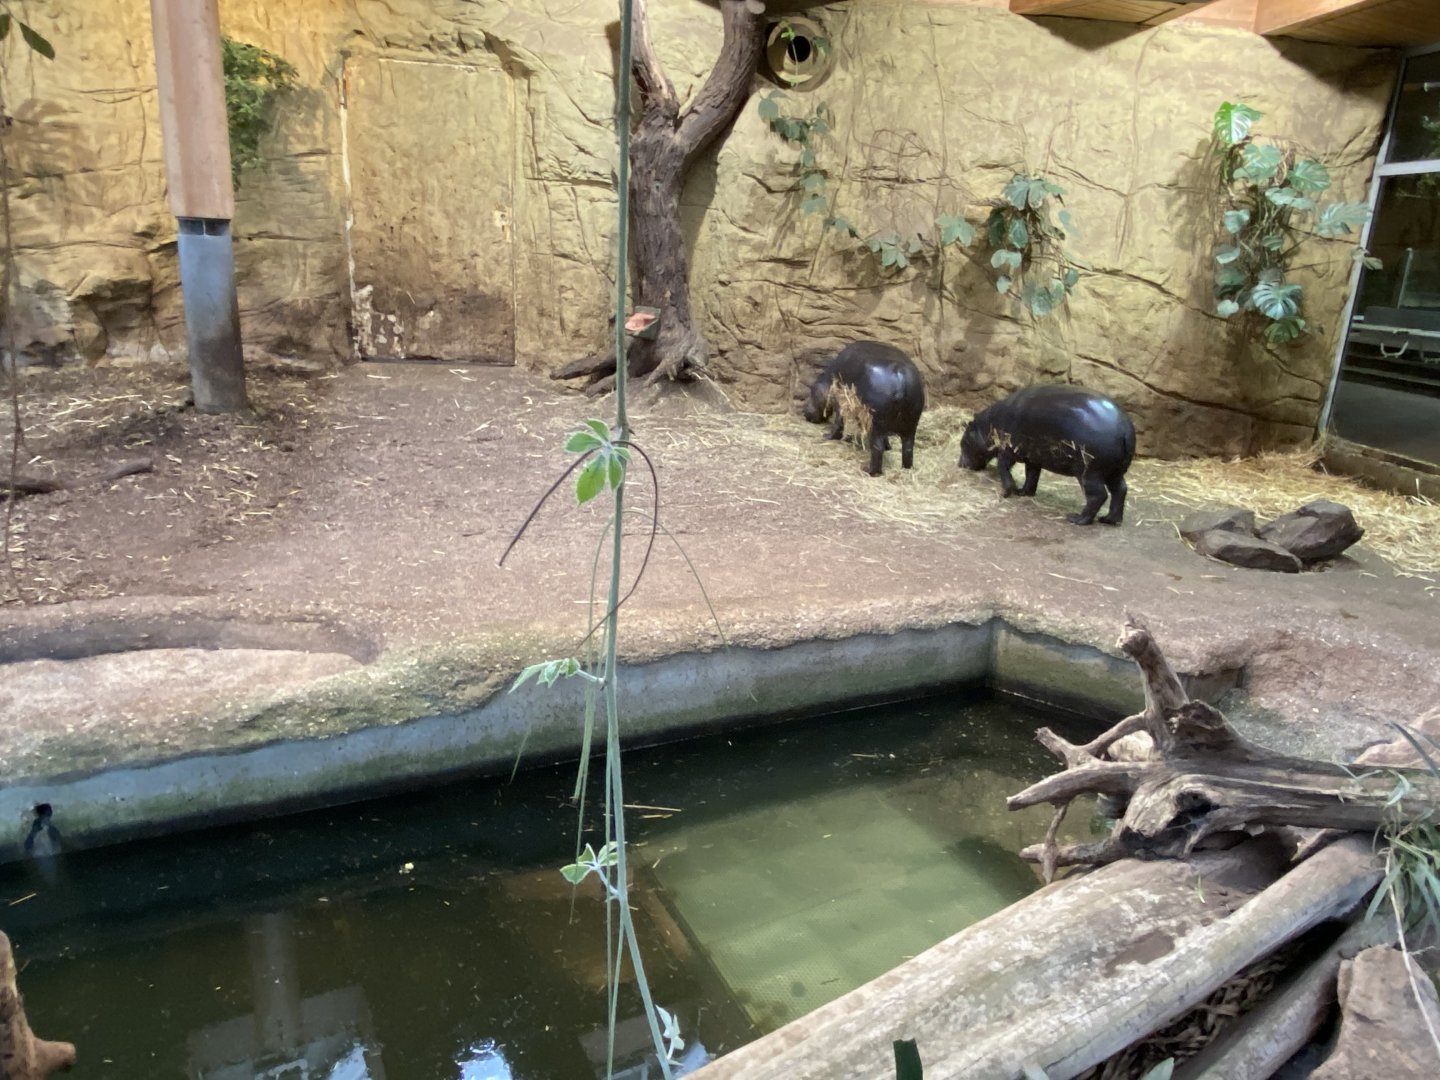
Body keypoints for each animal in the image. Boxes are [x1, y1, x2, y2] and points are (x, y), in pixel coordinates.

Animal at [803, 341, 926, 476]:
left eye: (812, 390)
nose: (804, 411)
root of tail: (900, 376)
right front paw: (888, 446)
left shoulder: (841, 403)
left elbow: (838, 422)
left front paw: (827, 436)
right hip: (910, 425)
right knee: (908, 448)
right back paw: (906, 469)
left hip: (877, 424)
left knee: (877, 447)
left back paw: (868, 471)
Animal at [958, 384, 1136, 525]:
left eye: (963, 441)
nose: (959, 464)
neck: (987, 427)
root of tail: (1124, 429)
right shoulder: (1033, 458)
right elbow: (1031, 475)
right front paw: (1022, 492)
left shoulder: (1008, 451)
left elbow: (1003, 468)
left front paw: (1007, 492)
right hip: (1114, 471)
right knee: (1120, 490)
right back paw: (1109, 520)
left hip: (1090, 473)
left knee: (1098, 496)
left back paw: (1076, 519)